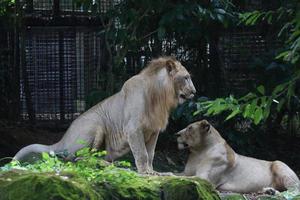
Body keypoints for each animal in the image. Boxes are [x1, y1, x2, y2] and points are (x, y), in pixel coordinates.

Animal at [14, 56, 197, 173]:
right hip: (95, 124)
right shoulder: (133, 128)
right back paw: (107, 165)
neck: (160, 96)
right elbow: (142, 153)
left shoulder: (153, 131)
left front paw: (154, 172)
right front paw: (146, 172)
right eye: (186, 77)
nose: (194, 92)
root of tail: (63, 139)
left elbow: (150, 154)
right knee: (76, 159)